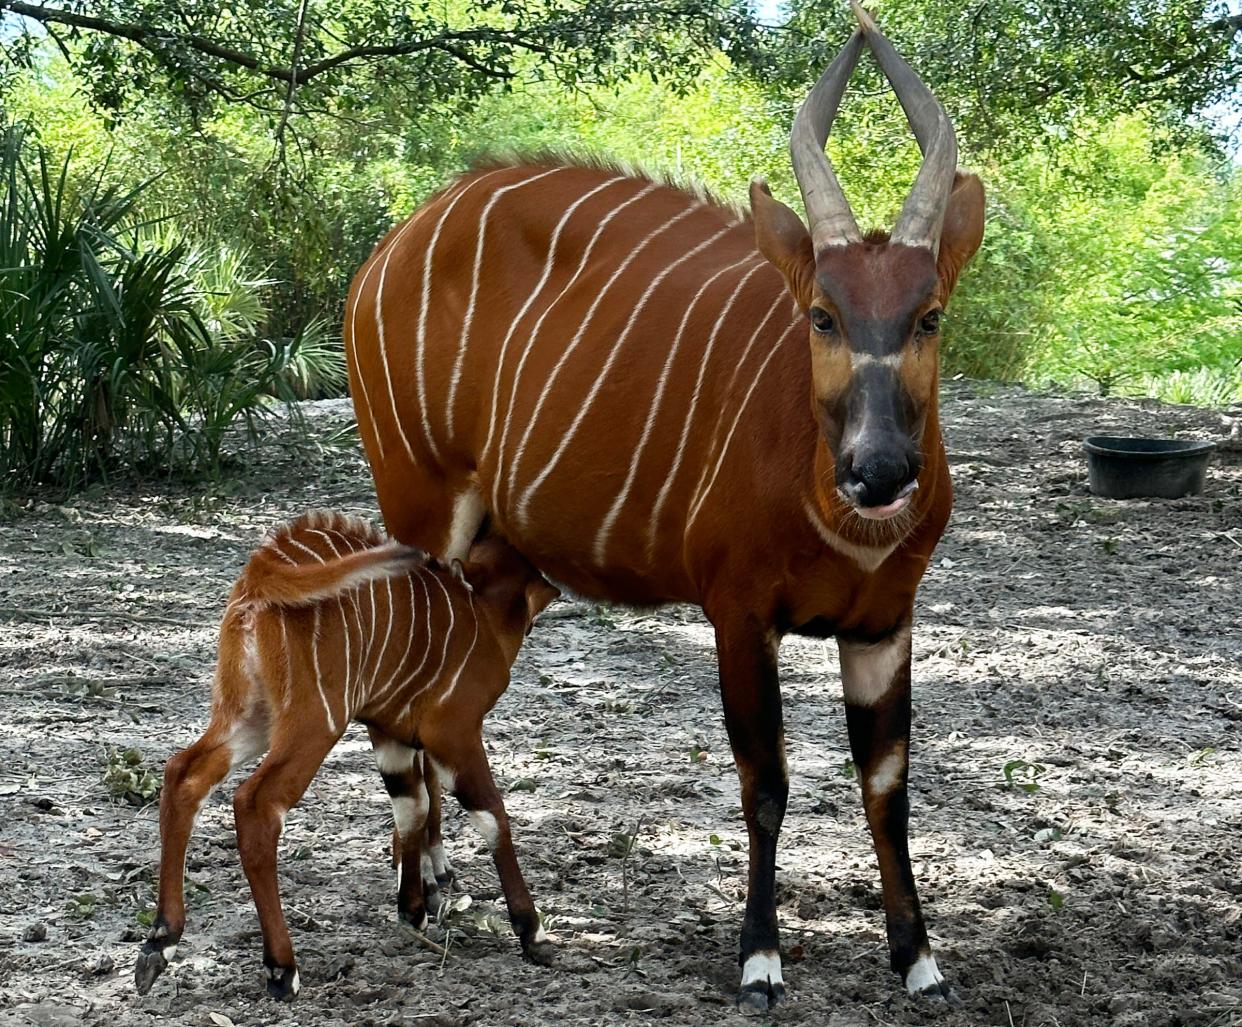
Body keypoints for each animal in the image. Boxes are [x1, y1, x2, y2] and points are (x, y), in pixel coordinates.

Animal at [132, 514, 558, 1003]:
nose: (558, 584)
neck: (483, 614)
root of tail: (262, 572)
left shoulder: (390, 734)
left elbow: (411, 808)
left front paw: (412, 910)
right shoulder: (456, 732)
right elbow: (492, 816)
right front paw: (533, 933)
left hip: (249, 716)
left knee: (183, 773)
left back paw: (160, 941)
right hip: (316, 722)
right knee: (256, 803)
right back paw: (281, 968)